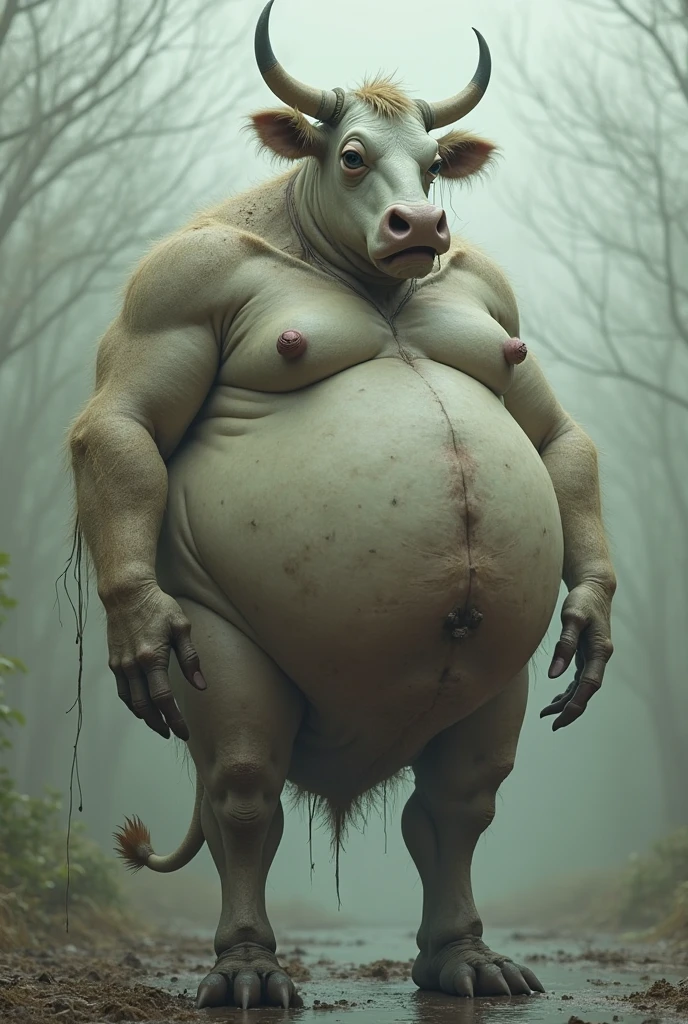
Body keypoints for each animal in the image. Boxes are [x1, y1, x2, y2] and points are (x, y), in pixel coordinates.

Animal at [69, 0, 615, 1009]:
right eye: (353, 155)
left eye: (433, 164)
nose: (422, 223)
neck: (366, 277)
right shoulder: (176, 286)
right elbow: (122, 425)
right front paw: (136, 623)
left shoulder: (498, 304)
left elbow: (558, 437)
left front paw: (592, 615)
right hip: (227, 649)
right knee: (244, 792)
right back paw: (249, 966)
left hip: (497, 681)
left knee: (455, 804)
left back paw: (462, 957)